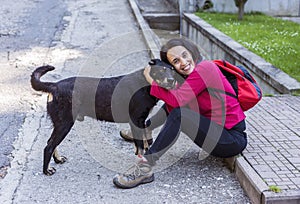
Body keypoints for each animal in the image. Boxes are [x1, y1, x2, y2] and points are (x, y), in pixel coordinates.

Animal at [30, 59, 176, 175]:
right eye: (161, 70)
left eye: (173, 71)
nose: (172, 80)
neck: (146, 82)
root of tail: (54, 86)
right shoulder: (135, 121)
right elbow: (140, 146)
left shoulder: (141, 122)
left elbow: (144, 144)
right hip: (64, 124)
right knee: (49, 146)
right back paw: (46, 170)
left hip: (59, 123)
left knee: (51, 142)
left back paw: (58, 159)